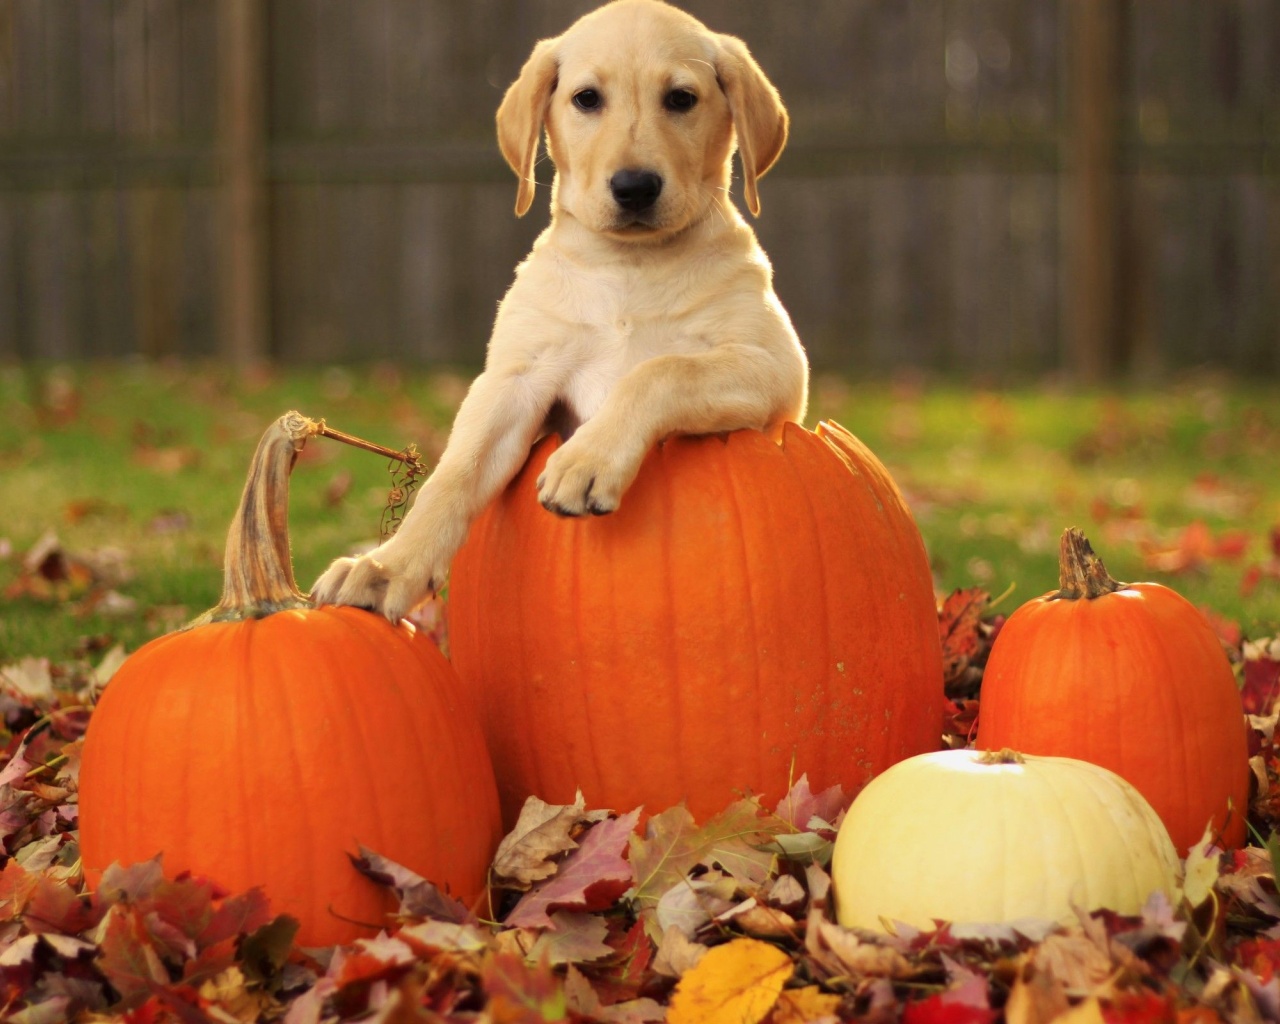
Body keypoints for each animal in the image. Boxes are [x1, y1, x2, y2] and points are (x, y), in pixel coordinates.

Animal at [313, 0, 803, 619]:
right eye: (587, 99)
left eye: (681, 99)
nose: (635, 187)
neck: (630, 268)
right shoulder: (515, 379)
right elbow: (455, 472)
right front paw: (387, 566)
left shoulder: (774, 367)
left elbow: (660, 369)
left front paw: (585, 460)